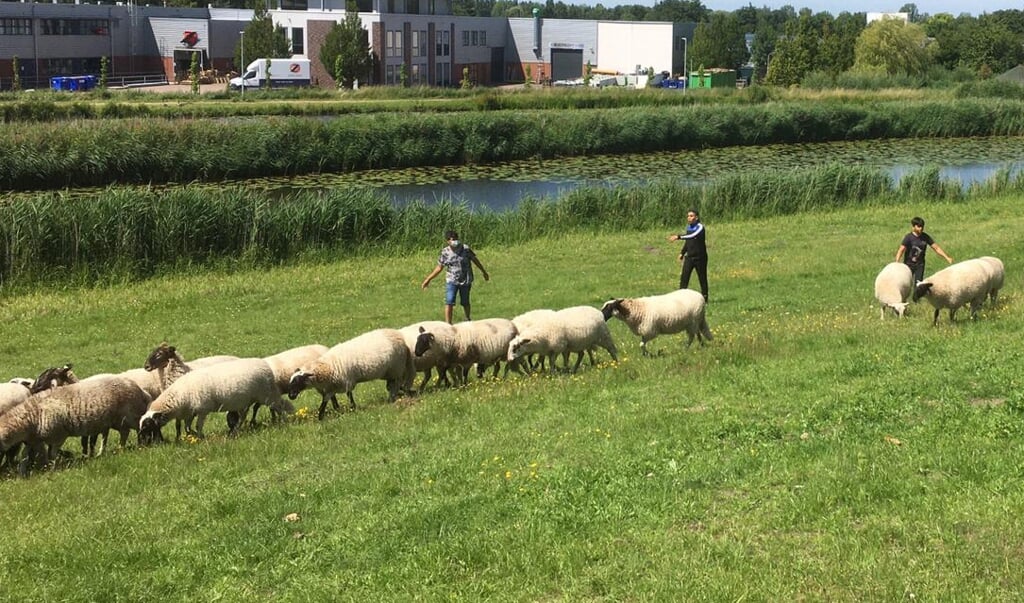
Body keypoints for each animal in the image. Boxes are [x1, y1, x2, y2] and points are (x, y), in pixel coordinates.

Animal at [139, 354, 292, 440]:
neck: (180, 394)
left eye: (147, 425)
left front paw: (200, 436)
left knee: (279, 406)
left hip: (266, 394)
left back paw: (283, 421)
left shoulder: (202, 409)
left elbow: (197, 425)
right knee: (244, 415)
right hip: (246, 400)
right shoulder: (190, 412)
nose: (141, 440)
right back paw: (236, 430)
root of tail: (264, 365)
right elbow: (187, 427)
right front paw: (193, 435)